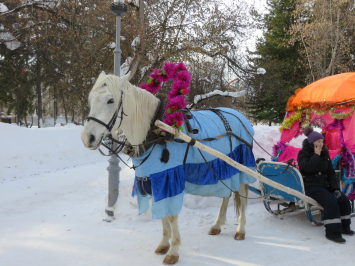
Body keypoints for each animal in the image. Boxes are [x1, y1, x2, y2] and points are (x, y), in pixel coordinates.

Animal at [82, 72, 252, 264]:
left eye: (111, 100)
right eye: (90, 99)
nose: (87, 138)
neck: (155, 131)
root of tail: (241, 116)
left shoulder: (169, 179)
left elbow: (171, 215)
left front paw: (173, 250)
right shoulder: (153, 179)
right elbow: (161, 214)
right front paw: (164, 243)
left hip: (242, 166)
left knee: (242, 195)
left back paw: (240, 229)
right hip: (223, 166)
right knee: (226, 194)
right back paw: (217, 224)